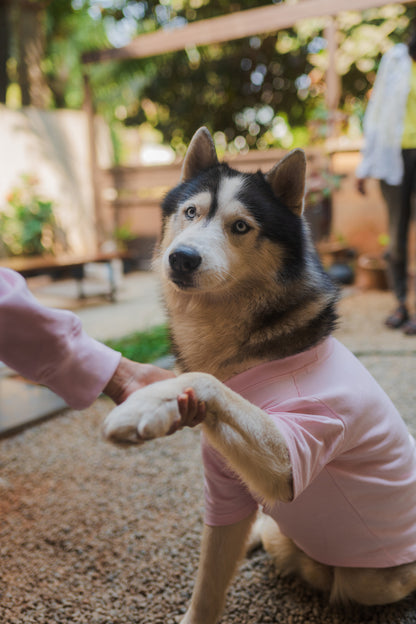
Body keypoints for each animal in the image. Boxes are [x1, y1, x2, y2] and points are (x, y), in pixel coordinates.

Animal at [103, 128, 416, 624]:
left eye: (241, 227)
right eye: (190, 212)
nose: (182, 258)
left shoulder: (294, 457)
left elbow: (210, 383)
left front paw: (142, 406)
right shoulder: (225, 482)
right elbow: (211, 573)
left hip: (373, 580)